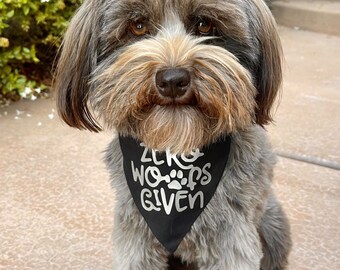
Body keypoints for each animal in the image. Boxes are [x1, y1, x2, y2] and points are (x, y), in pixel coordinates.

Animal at [54, 1, 290, 268]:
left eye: (204, 24)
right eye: (137, 26)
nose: (173, 80)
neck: (176, 151)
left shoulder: (232, 235)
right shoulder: (135, 232)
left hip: (273, 225)